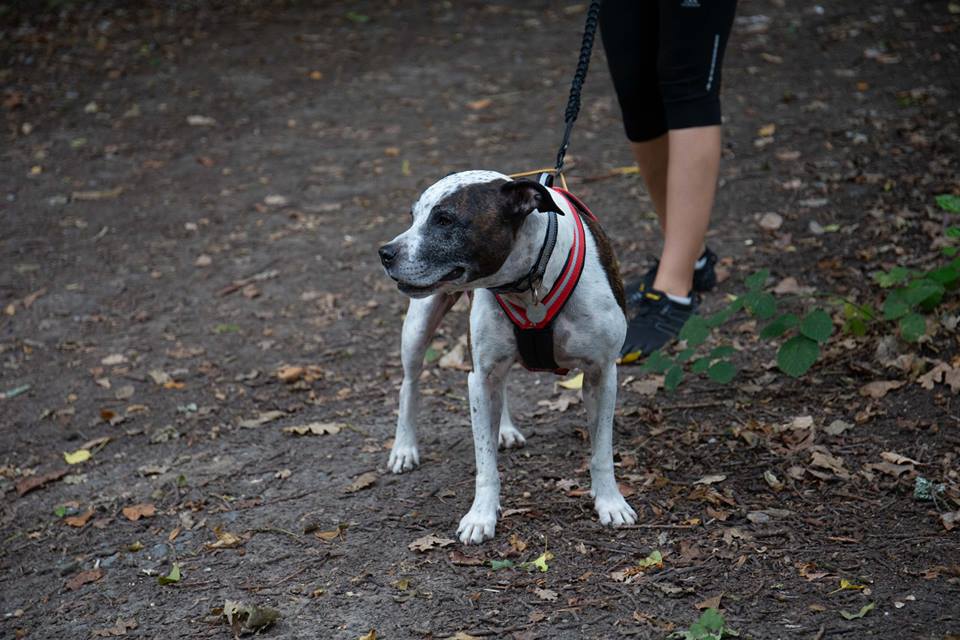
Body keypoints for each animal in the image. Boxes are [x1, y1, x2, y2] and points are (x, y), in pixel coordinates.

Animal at [376, 171, 636, 544]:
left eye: (444, 219)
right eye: (413, 217)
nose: (385, 253)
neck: (528, 282)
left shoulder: (602, 374)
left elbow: (602, 451)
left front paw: (610, 502)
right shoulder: (480, 378)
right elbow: (485, 463)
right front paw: (481, 516)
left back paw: (506, 429)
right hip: (417, 328)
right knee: (409, 384)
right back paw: (404, 448)